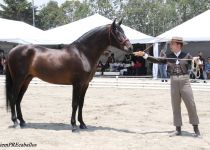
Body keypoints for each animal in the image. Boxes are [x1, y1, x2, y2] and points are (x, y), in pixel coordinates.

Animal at [4, 19, 133, 131]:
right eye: (117, 32)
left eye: (123, 31)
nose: (130, 47)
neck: (83, 53)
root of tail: (12, 51)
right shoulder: (77, 84)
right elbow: (74, 104)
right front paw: (74, 125)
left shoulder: (85, 84)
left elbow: (81, 103)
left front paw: (82, 124)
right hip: (18, 80)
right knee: (13, 97)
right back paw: (15, 122)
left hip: (26, 80)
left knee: (18, 99)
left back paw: (22, 121)